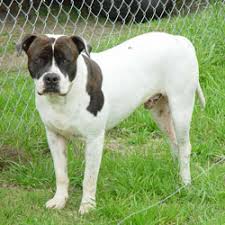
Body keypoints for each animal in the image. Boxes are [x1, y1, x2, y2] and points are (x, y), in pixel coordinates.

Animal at [16, 32, 206, 214]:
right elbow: (61, 173)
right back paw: (176, 173)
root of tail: (180, 39)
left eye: (66, 60)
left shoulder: (94, 139)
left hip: (181, 110)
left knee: (185, 146)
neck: (63, 99)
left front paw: (88, 205)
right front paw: (59, 200)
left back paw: (185, 183)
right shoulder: (54, 137)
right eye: (39, 59)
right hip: (160, 112)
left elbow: (89, 178)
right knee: (174, 143)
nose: (51, 78)